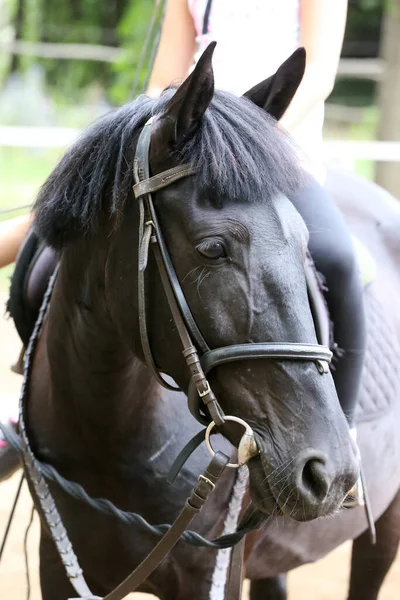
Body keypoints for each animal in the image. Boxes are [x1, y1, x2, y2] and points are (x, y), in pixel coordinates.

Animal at [18, 44, 400, 596]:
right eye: (213, 248)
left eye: (304, 243)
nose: (327, 472)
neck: (106, 438)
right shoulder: (59, 565)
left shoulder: (209, 573)